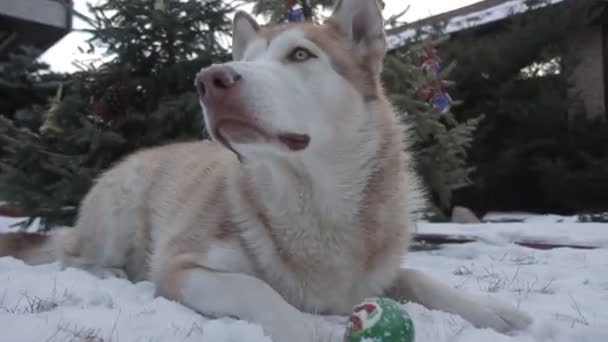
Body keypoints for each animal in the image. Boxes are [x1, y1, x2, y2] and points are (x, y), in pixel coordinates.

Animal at [0, 0, 532, 340]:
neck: (314, 201)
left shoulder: (373, 273)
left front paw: (493, 311)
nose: (208, 80)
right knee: (73, 256)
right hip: (120, 213)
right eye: (243, 59)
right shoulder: (179, 265)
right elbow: (255, 288)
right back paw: (110, 273)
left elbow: (422, 278)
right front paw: (310, 330)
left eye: (300, 55)